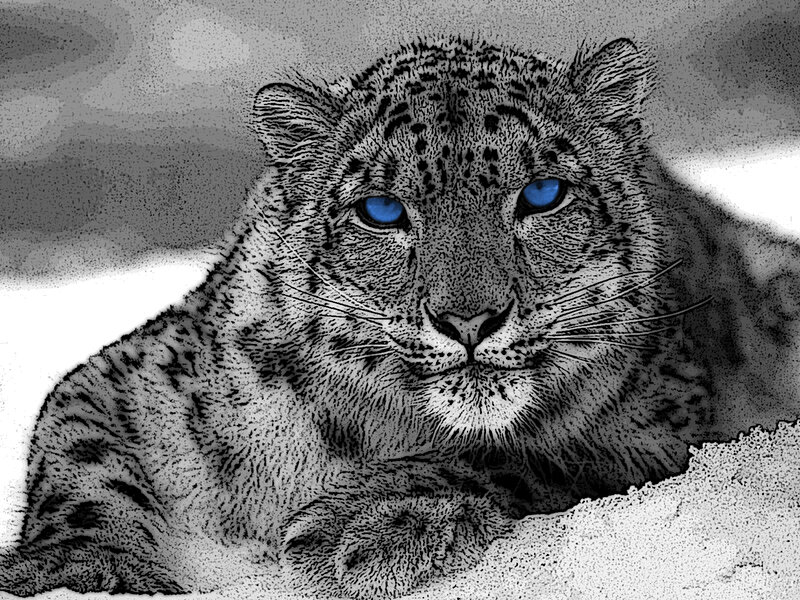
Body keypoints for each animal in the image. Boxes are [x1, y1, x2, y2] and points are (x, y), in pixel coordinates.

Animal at [2, 35, 800, 599]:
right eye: (381, 210)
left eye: (543, 195)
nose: (470, 318)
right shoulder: (135, 377)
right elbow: (78, 455)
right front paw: (81, 568)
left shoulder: (660, 423)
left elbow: (528, 454)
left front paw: (362, 523)